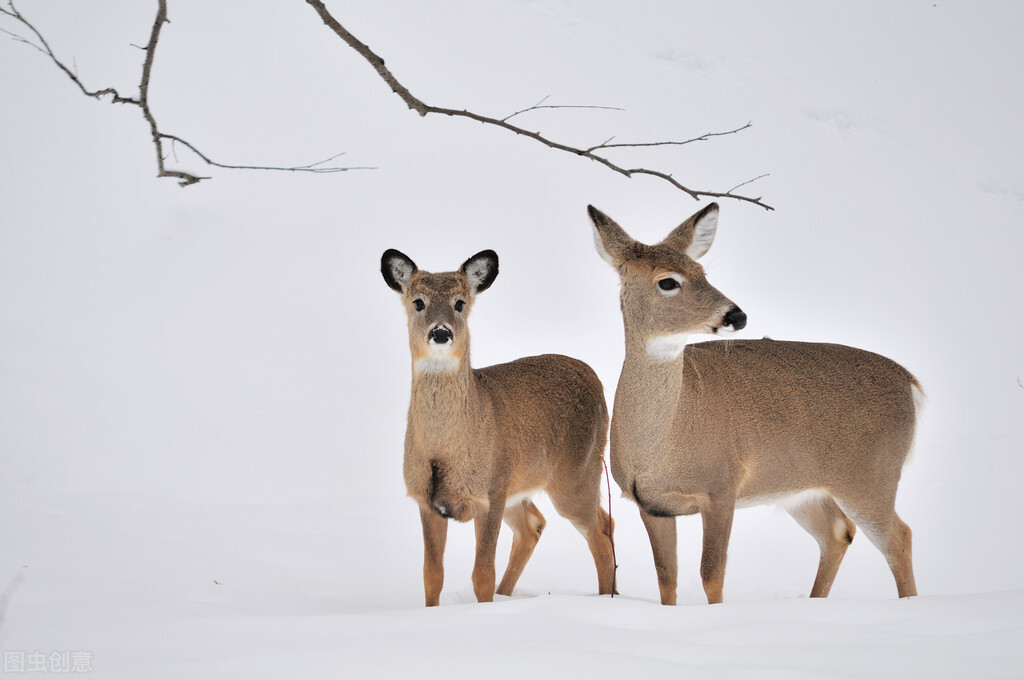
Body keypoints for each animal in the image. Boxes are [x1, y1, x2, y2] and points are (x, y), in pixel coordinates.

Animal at [378, 248, 610, 606]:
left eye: (460, 302)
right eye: (418, 302)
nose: (441, 332)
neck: (444, 450)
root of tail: (596, 379)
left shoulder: (490, 493)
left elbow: (482, 574)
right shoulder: (426, 500)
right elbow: (432, 574)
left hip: (577, 476)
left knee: (600, 531)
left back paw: (607, 599)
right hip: (522, 485)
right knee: (536, 525)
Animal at [589, 202, 925, 606]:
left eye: (702, 271)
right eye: (667, 281)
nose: (736, 315)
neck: (662, 442)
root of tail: (910, 382)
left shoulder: (722, 485)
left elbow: (711, 574)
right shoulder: (652, 503)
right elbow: (666, 578)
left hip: (872, 475)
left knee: (899, 538)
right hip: (802, 487)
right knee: (838, 532)